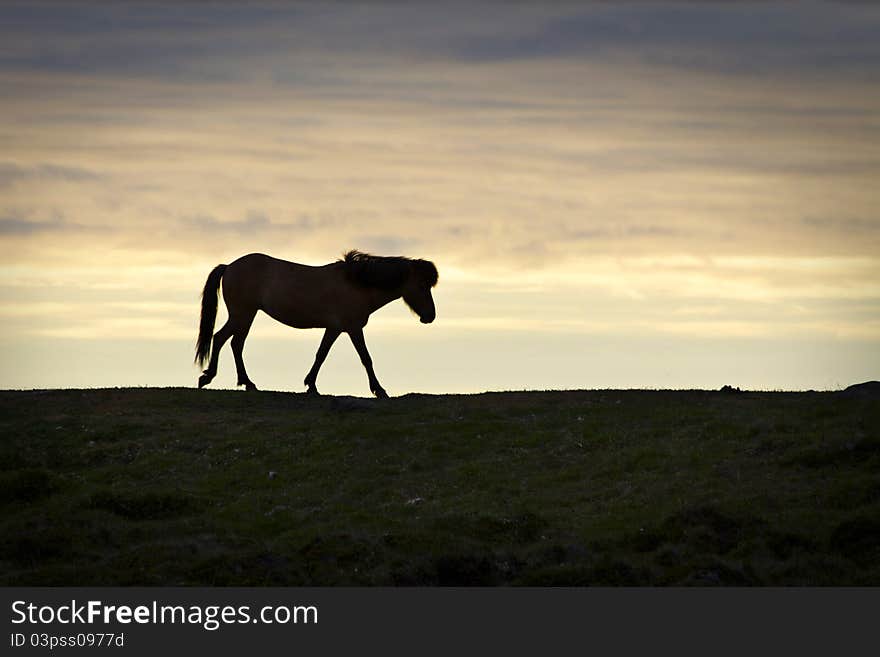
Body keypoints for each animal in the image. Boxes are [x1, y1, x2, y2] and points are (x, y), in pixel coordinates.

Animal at [194, 250, 438, 394]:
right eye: (422, 285)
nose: (430, 316)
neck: (357, 284)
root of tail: (229, 266)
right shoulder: (353, 328)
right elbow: (366, 358)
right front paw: (379, 390)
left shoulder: (334, 328)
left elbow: (321, 355)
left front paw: (311, 384)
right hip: (242, 314)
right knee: (225, 339)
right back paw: (213, 378)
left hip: (245, 315)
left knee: (232, 342)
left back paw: (243, 382)